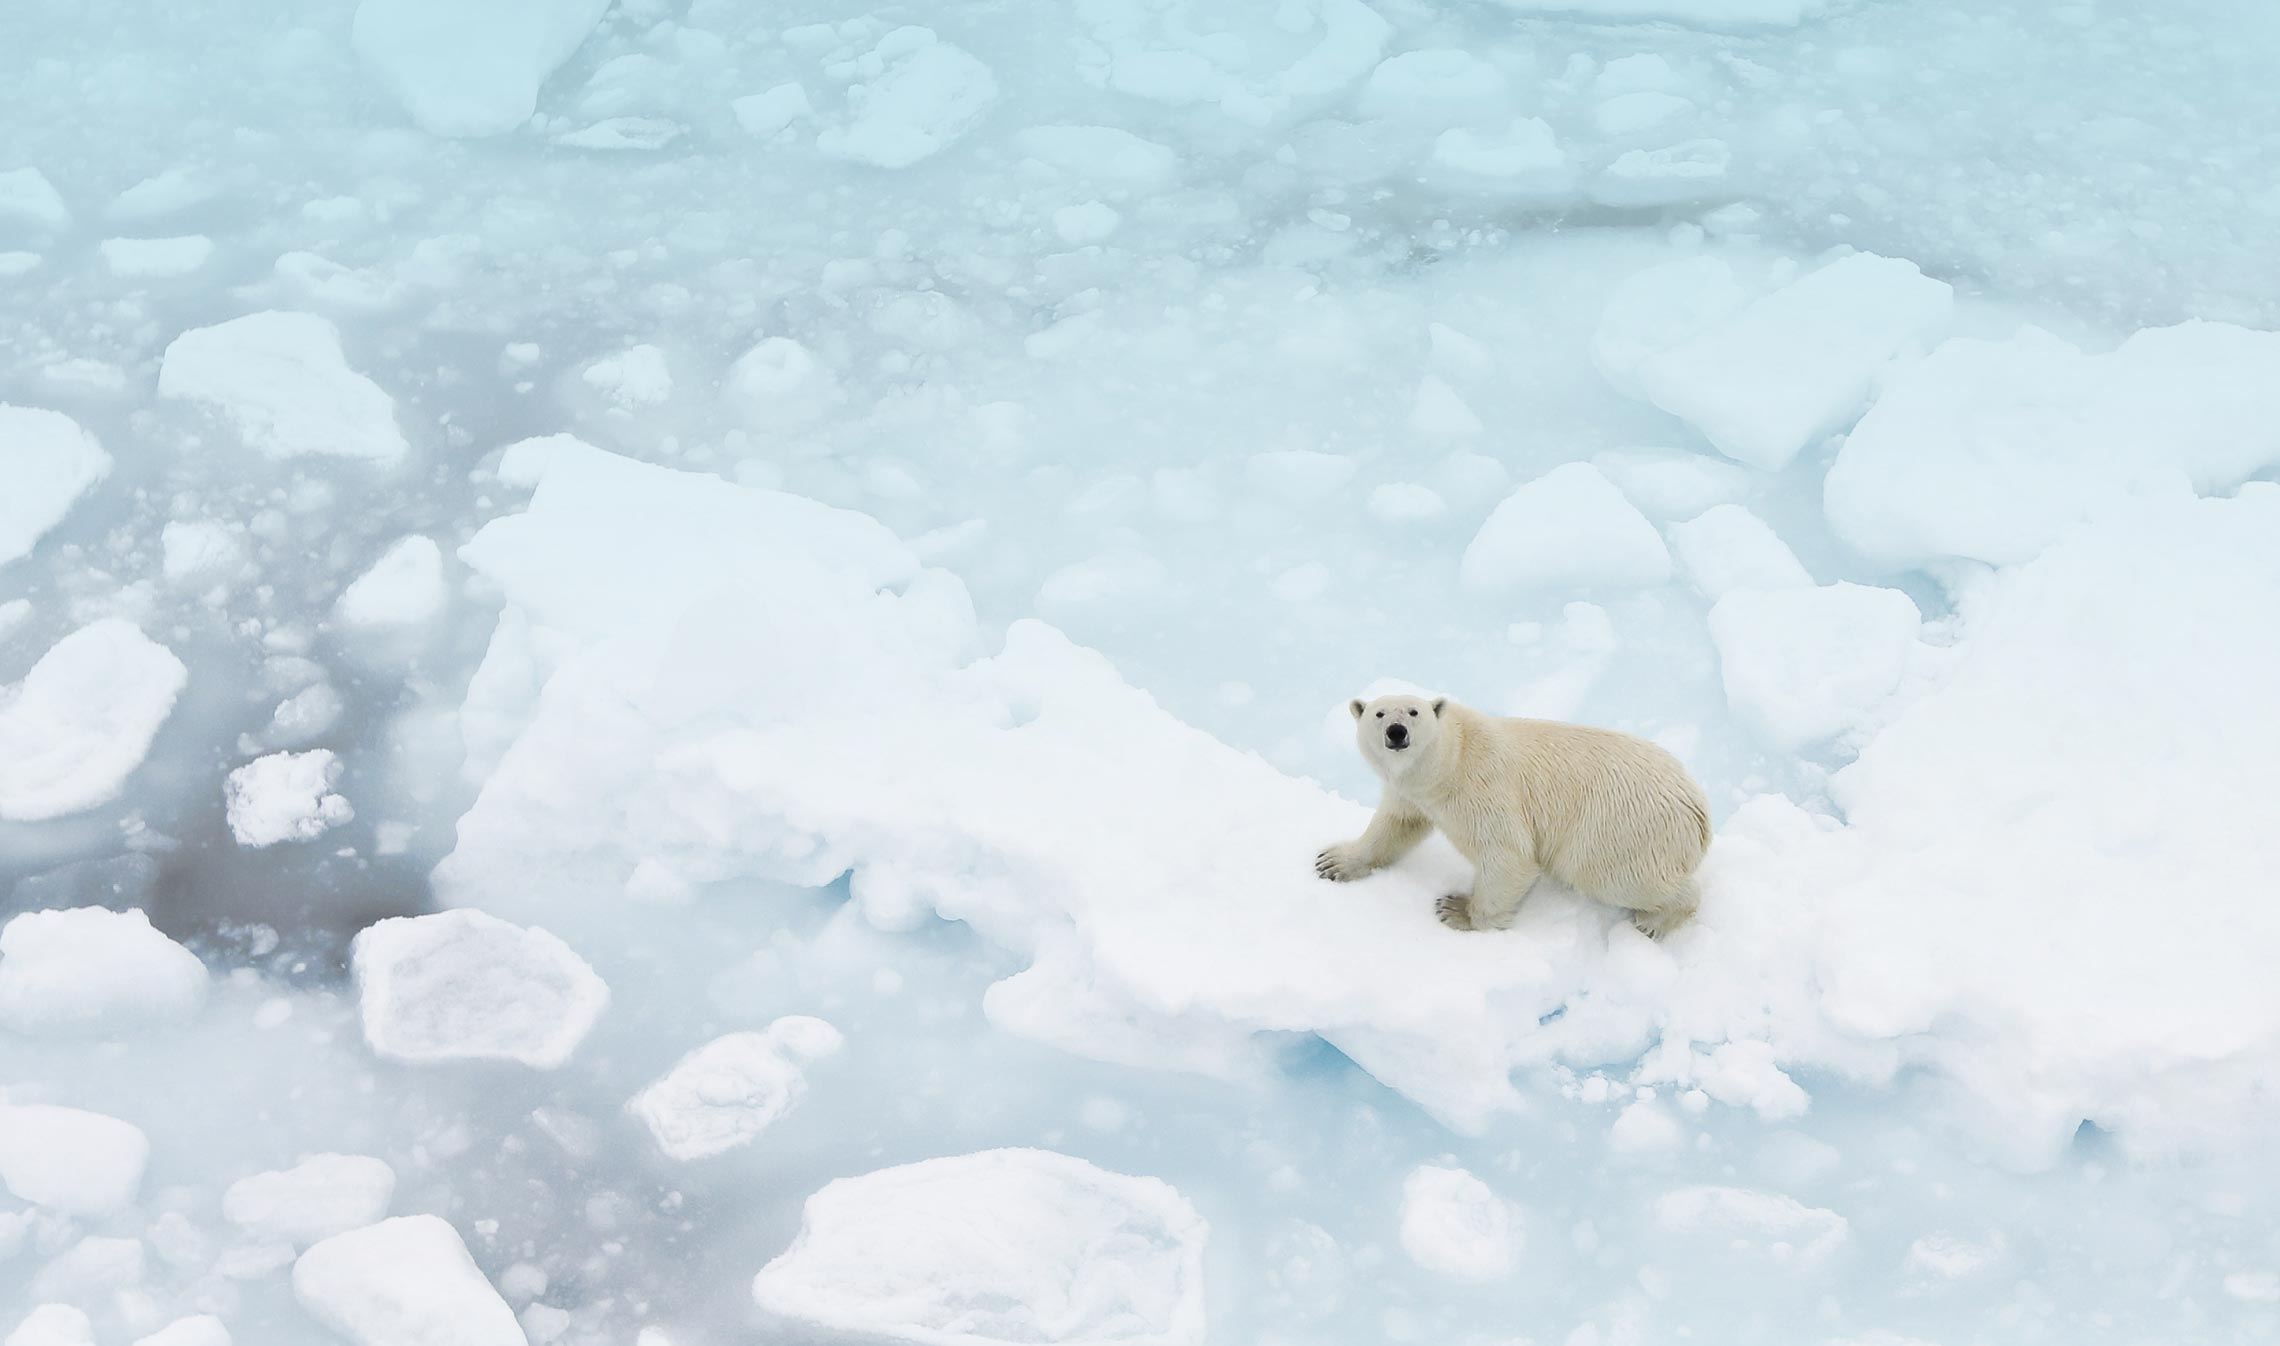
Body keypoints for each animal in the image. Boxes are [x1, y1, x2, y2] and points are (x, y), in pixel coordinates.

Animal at [1322, 698, 1714, 939]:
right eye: (1379, 713)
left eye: (1414, 711)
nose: (1396, 732)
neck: (1451, 760)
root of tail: (1698, 810)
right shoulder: (1414, 794)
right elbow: (1395, 825)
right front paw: (1333, 862)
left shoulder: (1483, 788)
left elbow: (1508, 855)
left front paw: (1458, 910)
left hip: (1619, 829)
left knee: (1614, 876)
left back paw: (1654, 921)